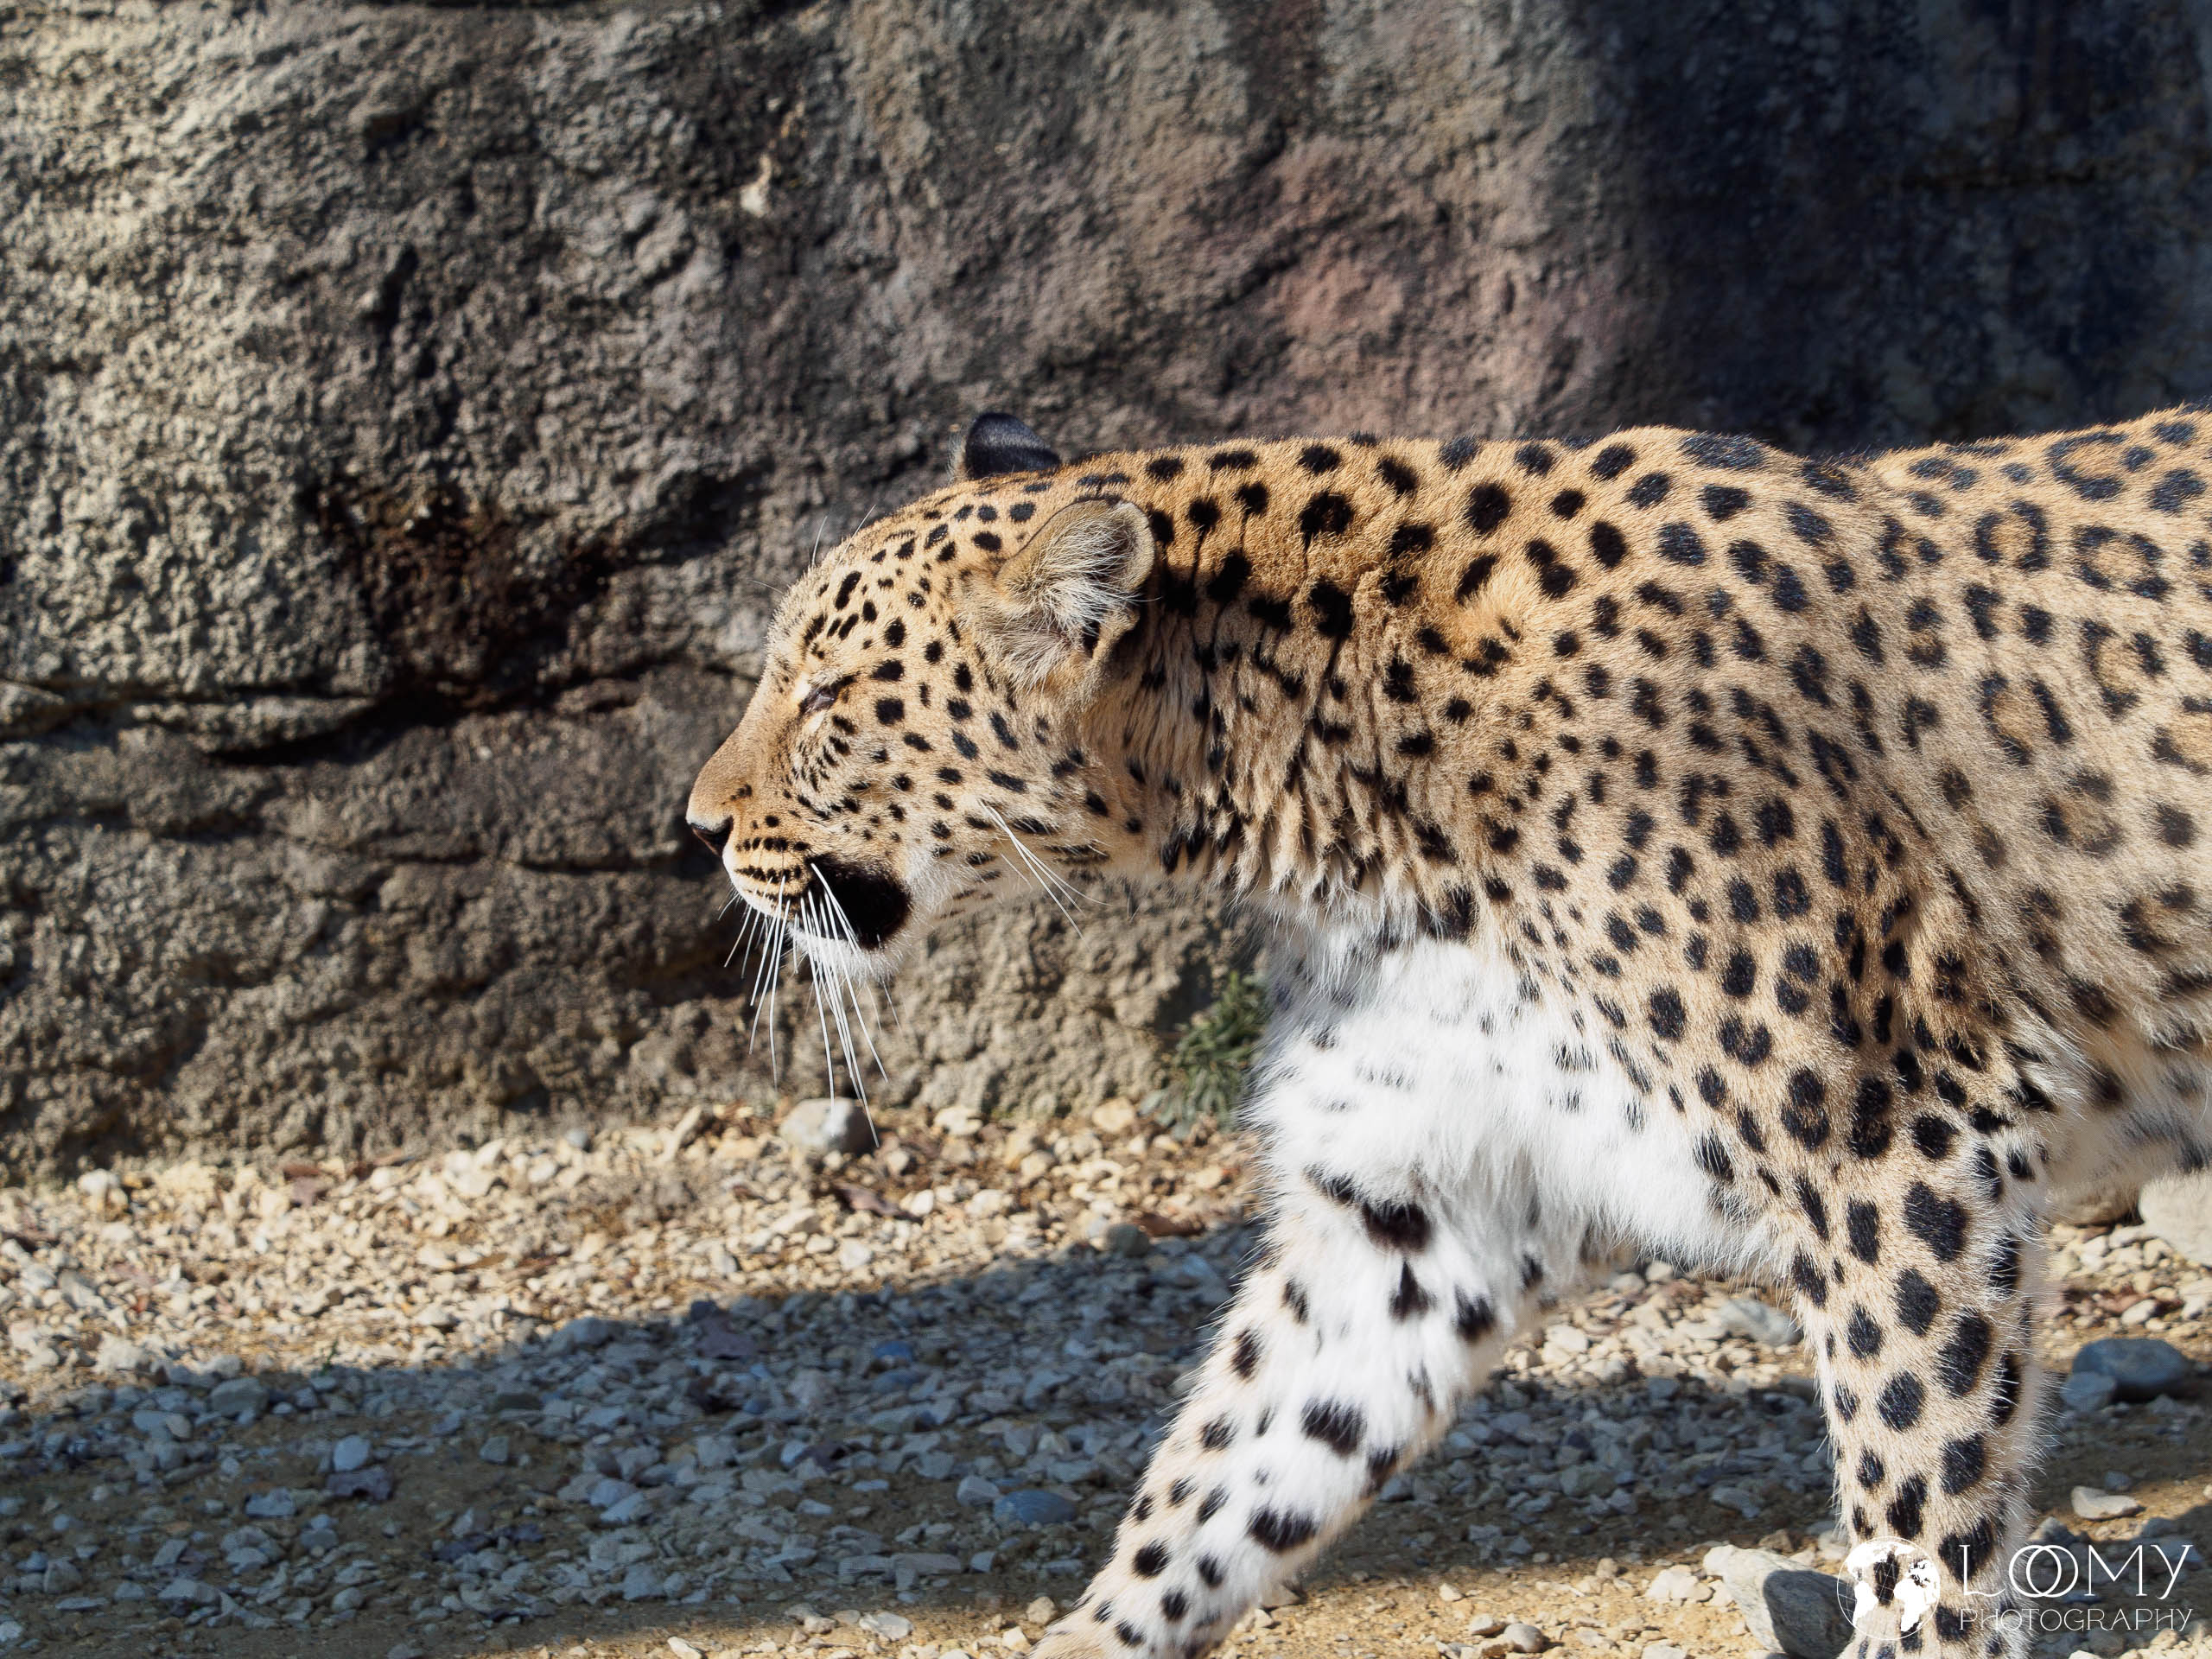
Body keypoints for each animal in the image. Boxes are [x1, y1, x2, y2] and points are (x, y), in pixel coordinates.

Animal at [686, 406, 2212, 1659]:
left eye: (825, 698)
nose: (697, 826)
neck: (1326, 800)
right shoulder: (1422, 1196)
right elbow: (1230, 1465)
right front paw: (1091, 1637)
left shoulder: (1900, 1158)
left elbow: (1919, 1512)